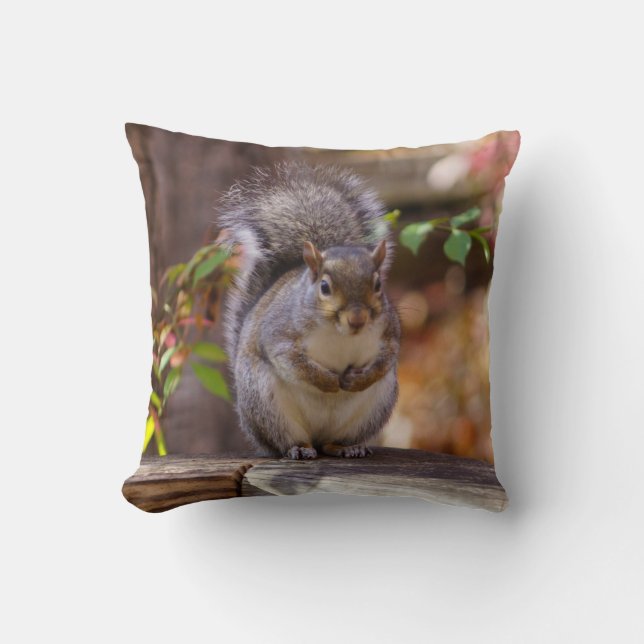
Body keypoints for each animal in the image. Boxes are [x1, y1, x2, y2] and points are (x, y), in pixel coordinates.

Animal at [219, 162, 401, 460]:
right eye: (324, 287)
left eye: (377, 285)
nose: (357, 319)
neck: (340, 333)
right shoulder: (279, 332)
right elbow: (292, 361)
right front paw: (329, 382)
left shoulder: (390, 332)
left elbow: (386, 359)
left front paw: (358, 380)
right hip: (266, 404)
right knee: (287, 440)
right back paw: (299, 449)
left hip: (375, 406)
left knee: (331, 442)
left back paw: (346, 447)